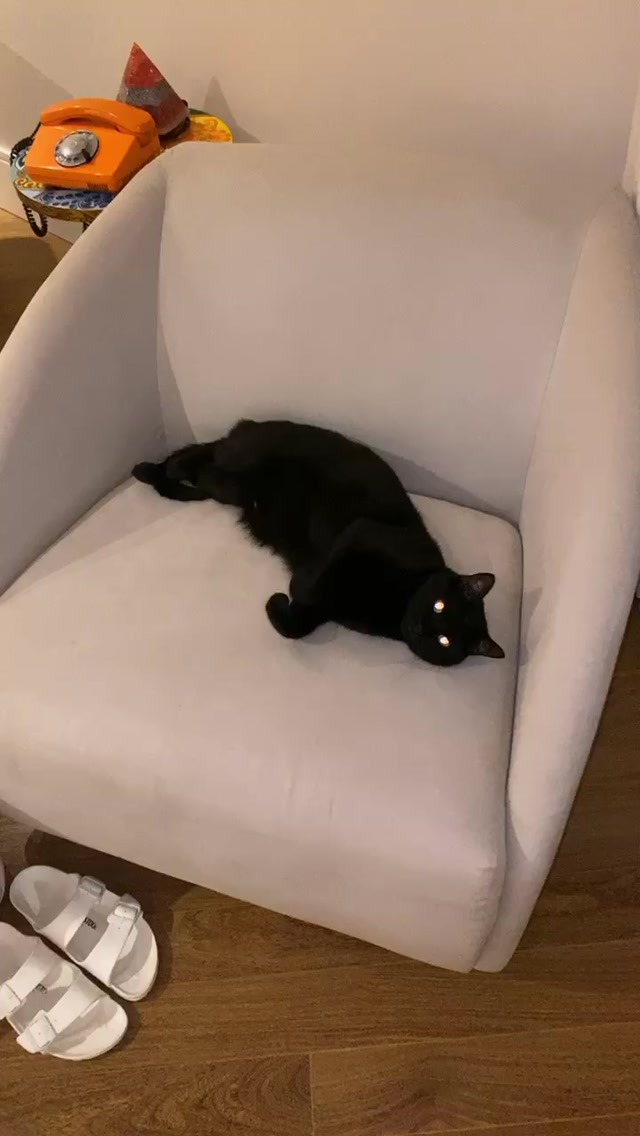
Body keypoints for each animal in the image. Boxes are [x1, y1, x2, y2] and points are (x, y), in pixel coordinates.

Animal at [133, 419, 504, 666]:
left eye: (445, 640)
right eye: (439, 605)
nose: (423, 626)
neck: (397, 605)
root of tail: (248, 424)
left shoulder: (329, 609)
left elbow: (296, 625)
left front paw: (287, 600)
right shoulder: (358, 534)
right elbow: (316, 581)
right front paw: (294, 587)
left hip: (232, 488)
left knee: (203, 465)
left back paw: (154, 472)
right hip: (242, 465)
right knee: (200, 458)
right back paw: (158, 470)